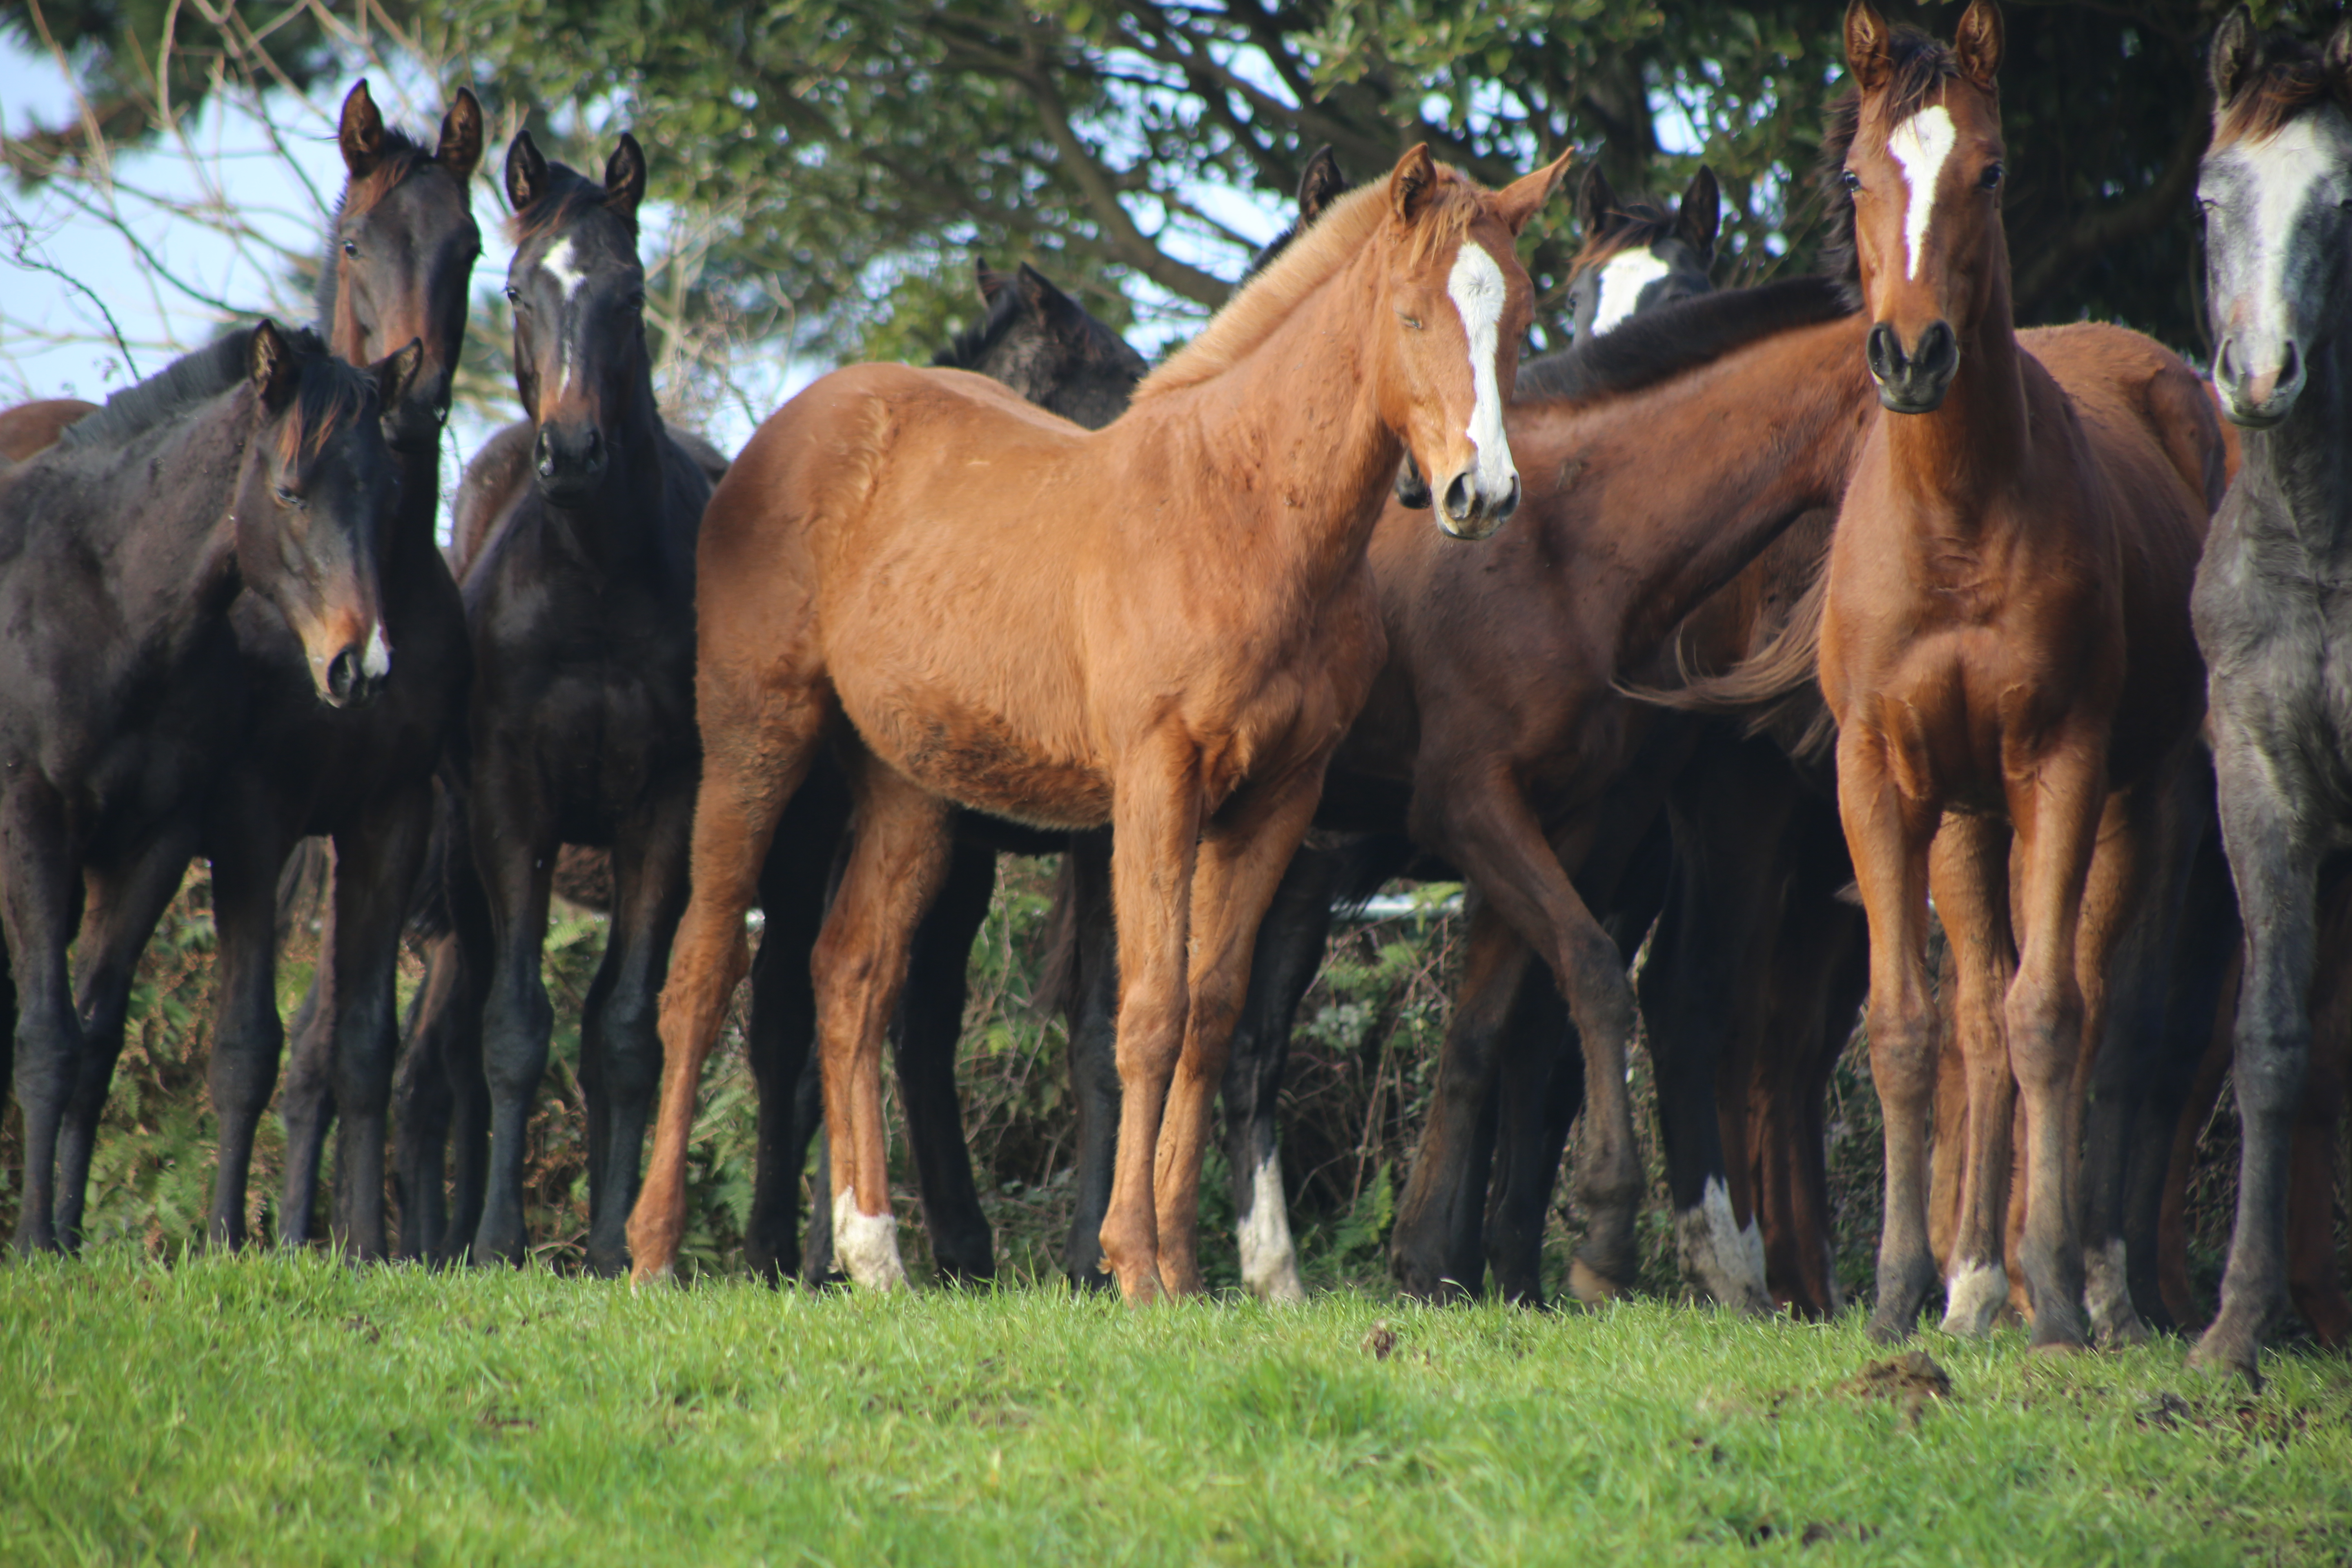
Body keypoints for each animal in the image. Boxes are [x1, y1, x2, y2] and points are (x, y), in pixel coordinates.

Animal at [2, 324, 416, 1260]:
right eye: (291, 492)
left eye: (387, 496)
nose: (362, 666)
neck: (101, 606)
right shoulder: (34, 827)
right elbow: (47, 1038)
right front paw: (37, 1239)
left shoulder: (152, 844)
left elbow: (97, 1040)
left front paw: (67, 1234)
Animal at [635, 147, 1571, 1297]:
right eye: (1409, 314)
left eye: (1517, 318)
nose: (1479, 494)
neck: (1242, 513)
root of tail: (779, 432)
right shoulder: (1155, 781)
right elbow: (1146, 1013)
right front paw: (1129, 1261)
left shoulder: (1275, 799)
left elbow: (1210, 1015)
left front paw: (1181, 1264)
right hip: (756, 739)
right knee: (702, 967)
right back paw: (652, 1251)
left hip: (909, 787)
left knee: (851, 975)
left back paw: (875, 1254)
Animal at [1815, 0, 2220, 1354]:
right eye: (1855, 177)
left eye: (1988, 171)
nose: (1912, 355)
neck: (1953, 519)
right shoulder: (1882, 777)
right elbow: (1908, 1026)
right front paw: (1900, 1289)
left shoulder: (2064, 764)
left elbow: (2052, 1016)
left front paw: (2058, 1290)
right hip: (1964, 818)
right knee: (1978, 1020)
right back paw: (1977, 1281)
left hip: (2141, 801)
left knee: (2092, 1009)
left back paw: (2084, 1280)